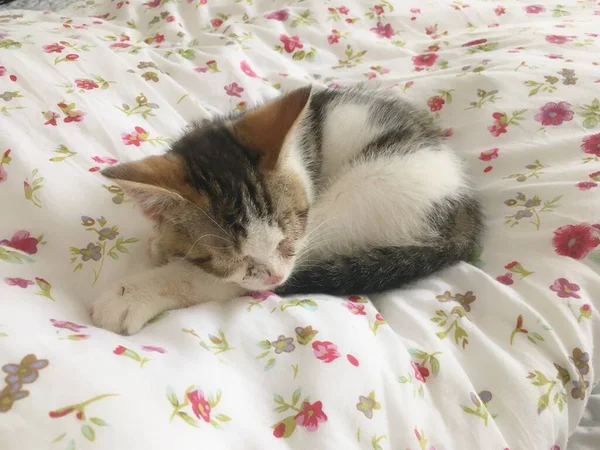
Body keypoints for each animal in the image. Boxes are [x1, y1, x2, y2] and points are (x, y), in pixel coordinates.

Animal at [91, 87, 482, 334]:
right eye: (235, 257)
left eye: (285, 241)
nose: (274, 277)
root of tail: (464, 207)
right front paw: (161, 240)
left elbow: (217, 279)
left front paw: (136, 292)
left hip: (370, 189)